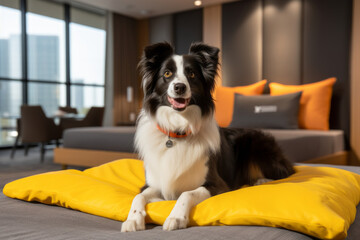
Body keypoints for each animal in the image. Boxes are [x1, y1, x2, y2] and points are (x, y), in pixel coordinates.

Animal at [121, 42, 296, 232]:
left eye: (191, 74)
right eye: (167, 73)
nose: (179, 87)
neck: (179, 129)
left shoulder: (218, 185)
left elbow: (186, 193)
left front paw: (176, 217)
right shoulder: (152, 185)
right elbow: (137, 197)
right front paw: (133, 220)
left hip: (254, 143)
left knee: (286, 171)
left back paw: (261, 180)